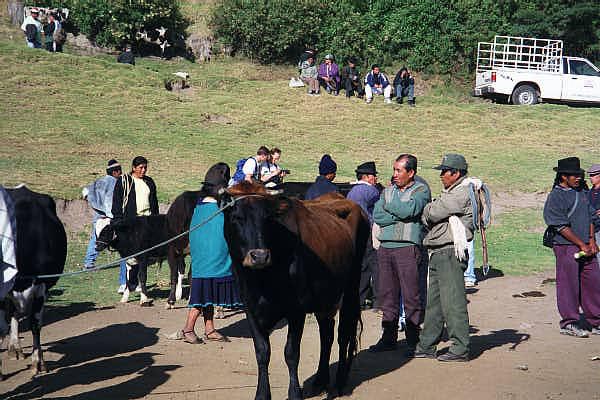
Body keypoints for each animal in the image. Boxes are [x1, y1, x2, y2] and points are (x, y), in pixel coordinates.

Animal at [0, 185, 66, 378]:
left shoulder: (41, 286)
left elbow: (35, 324)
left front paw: (38, 362)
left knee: (14, 314)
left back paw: (15, 347)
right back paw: (14, 347)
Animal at [220, 183, 370, 398]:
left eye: (267, 219)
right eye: (236, 217)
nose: (260, 256)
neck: (261, 280)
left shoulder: (296, 310)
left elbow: (291, 353)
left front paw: (294, 393)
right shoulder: (250, 309)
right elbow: (262, 352)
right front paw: (262, 394)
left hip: (351, 287)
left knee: (343, 333)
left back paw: (340, 381)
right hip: (325, 296)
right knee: (327, 334)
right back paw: (321, 379)